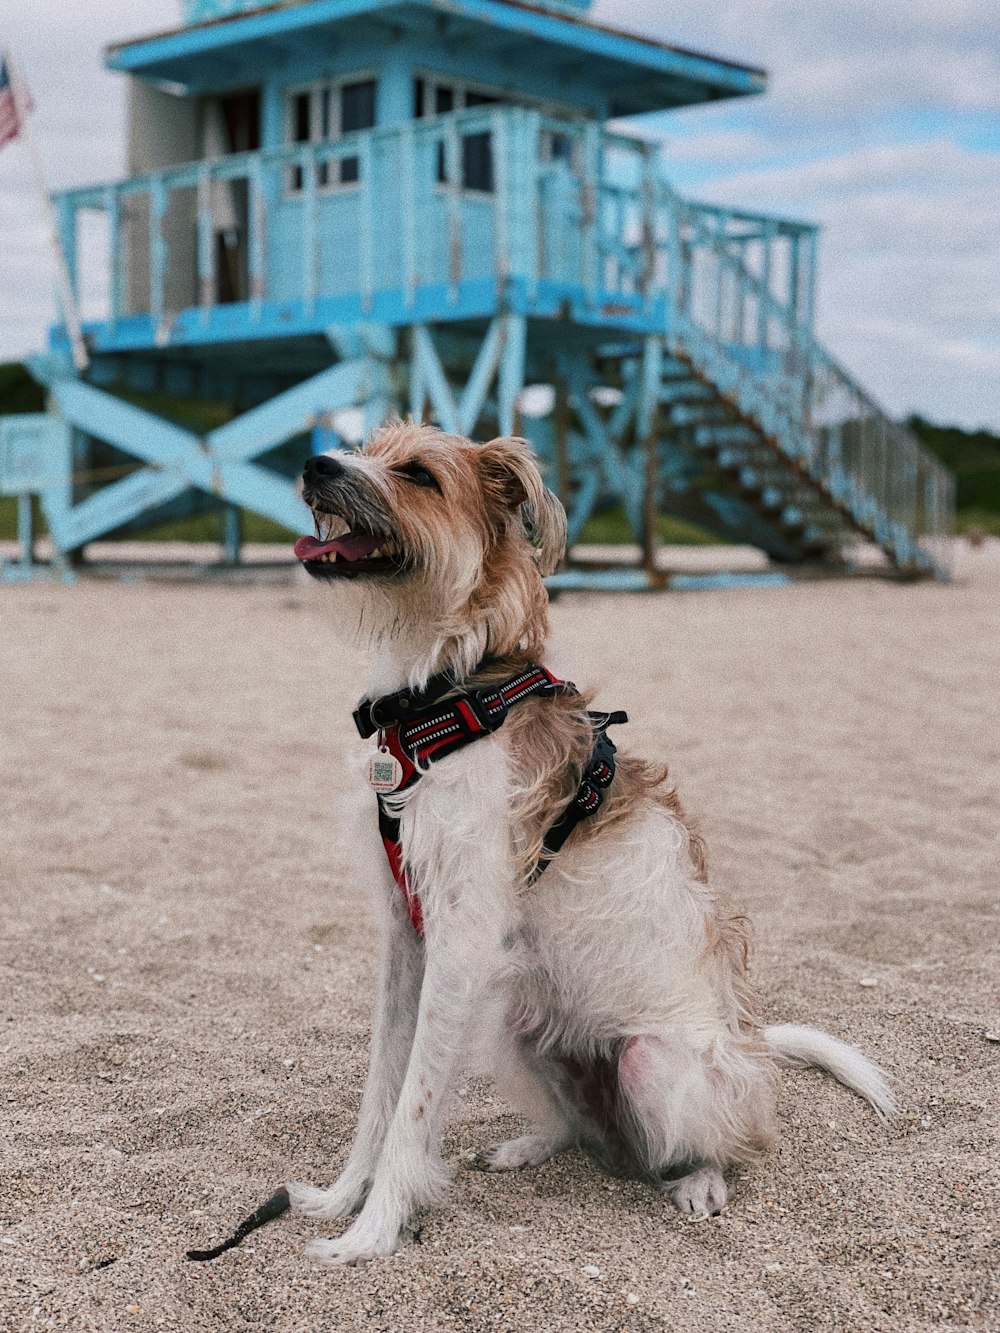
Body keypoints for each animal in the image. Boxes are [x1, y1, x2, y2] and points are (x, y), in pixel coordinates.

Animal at [285, 421, 896, 1263]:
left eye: (418, 474)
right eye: (365, 446)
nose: (314, 464)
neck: (447, 693)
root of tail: (749, 1047)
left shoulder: (461, 943)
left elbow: (413, 1105)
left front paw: (373, 1231)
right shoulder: (406, 940)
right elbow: (382, 1087)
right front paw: (345, 1196)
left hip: (654, 1063)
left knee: (732, 1144)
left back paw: (702, 1179)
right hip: (518, 1026)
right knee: (578, 1128)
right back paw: (529, 1145)